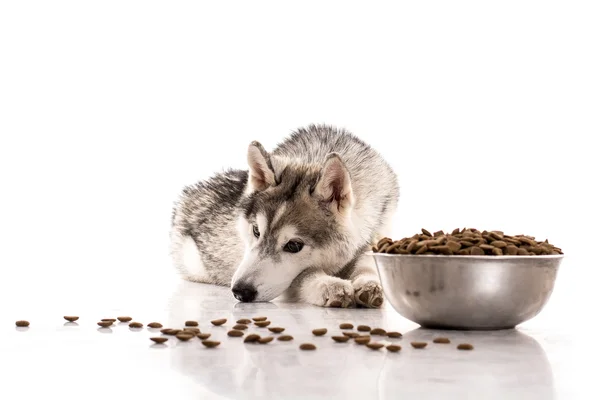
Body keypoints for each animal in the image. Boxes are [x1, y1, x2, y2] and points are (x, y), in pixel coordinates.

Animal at [169, 123, 398, 308]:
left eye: (294, 245)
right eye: (256, 231)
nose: (240, 291)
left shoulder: (376, 234)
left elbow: (369, 261)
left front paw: (369, 284)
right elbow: (303, 274)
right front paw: (329, 285)